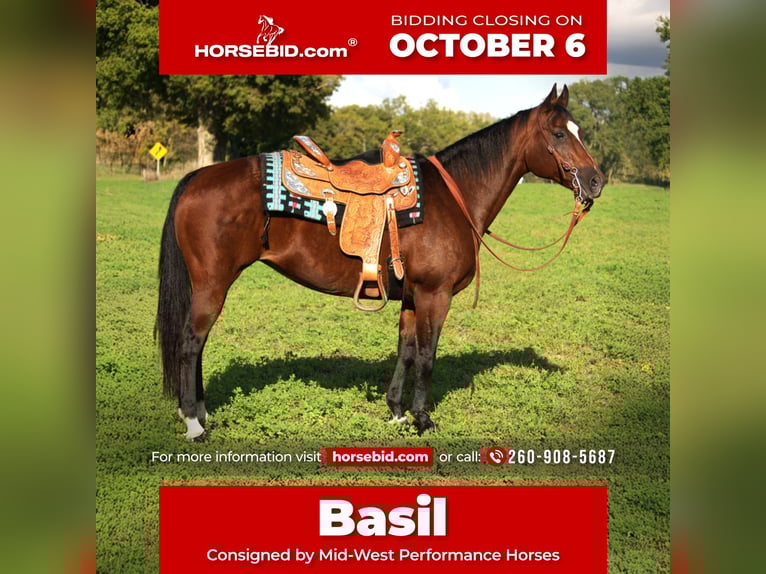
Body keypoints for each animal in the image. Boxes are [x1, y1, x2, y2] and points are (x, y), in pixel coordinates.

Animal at [155, 84, 605, 440]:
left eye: (579, 131)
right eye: (559, 133)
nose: (596, 181)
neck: (454, 197)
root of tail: (197, 177)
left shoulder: (411, 297)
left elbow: (405, 350)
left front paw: (397, 413)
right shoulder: (435, 295)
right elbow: (426, 355)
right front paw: (424, 419)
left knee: (196, 343)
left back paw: (198, 412)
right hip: (213, 284)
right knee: (191, 342)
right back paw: (193, 423)